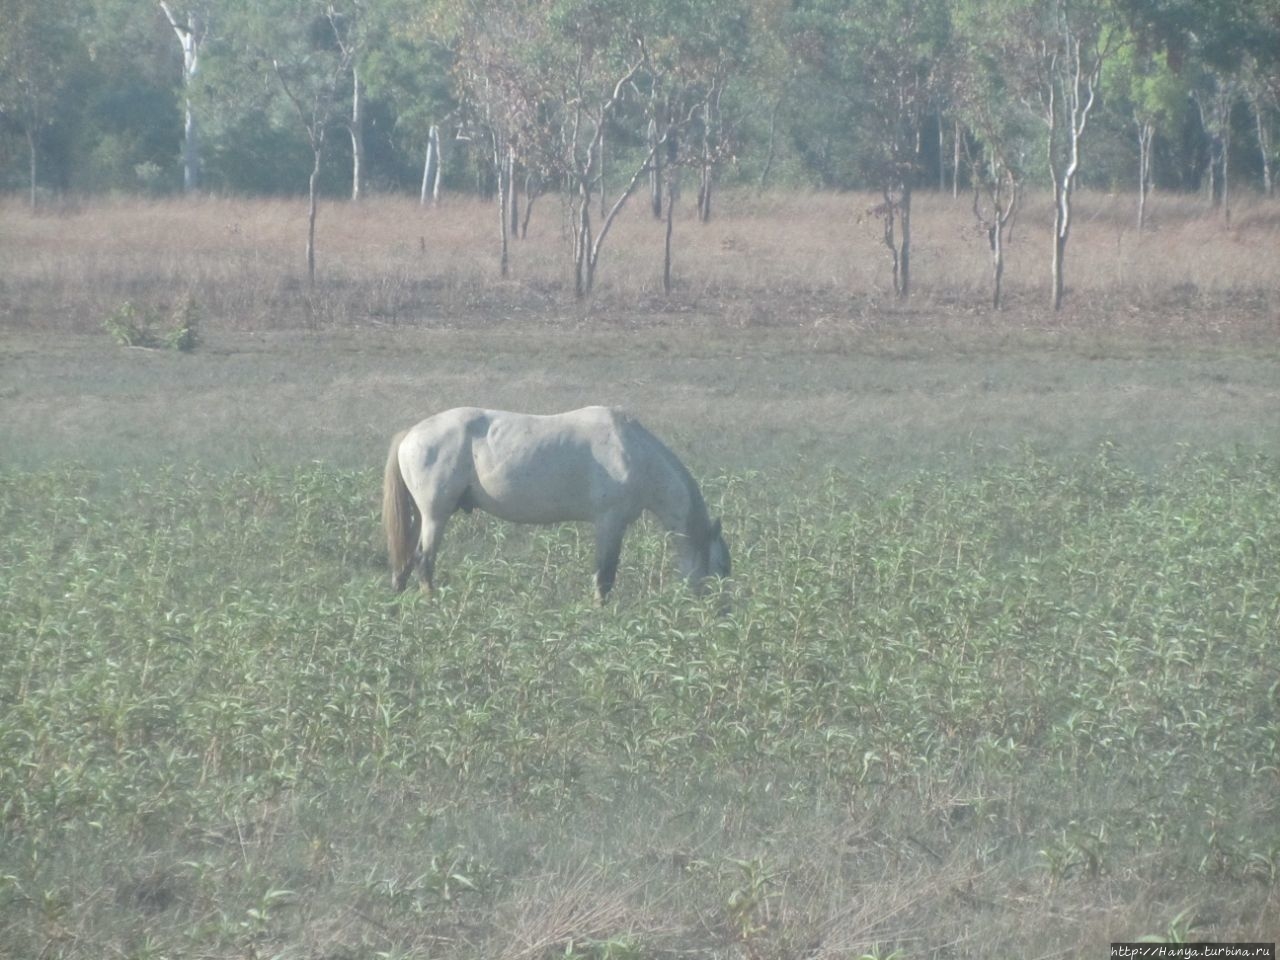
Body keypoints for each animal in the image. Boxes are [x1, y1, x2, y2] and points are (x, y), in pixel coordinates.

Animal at [378, 407, 732, 601]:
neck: (635, 453)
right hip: (435, 516)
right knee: (424, 561)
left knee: (406, 559)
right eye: (722, 568)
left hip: (420, 516)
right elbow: (605, 578)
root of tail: (411, 434)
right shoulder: (610, 524)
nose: (722, 614)